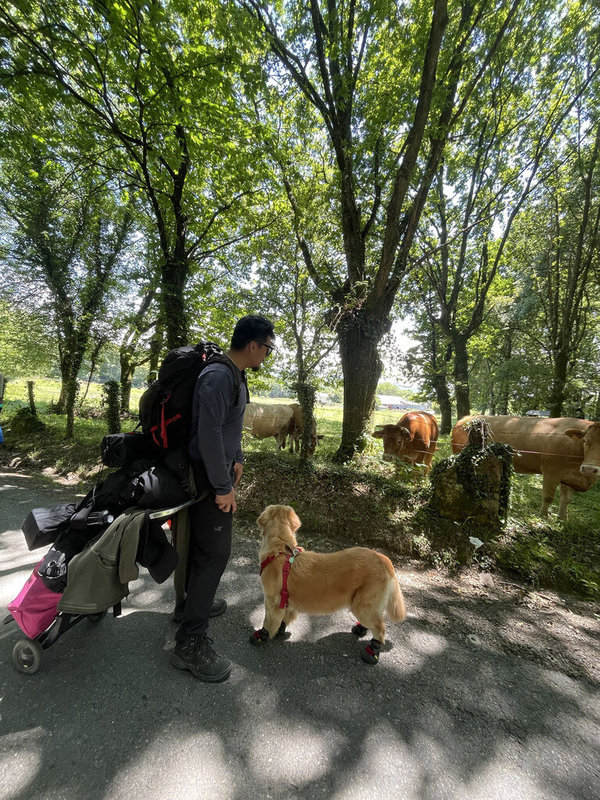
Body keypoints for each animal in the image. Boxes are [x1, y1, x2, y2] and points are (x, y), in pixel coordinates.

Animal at [452, 416, 600, 520]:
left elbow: (566, 499)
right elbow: (548, 497)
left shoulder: (569, 475)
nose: (589, 469)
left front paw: (562, 518)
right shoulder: (552, 471)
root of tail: (466, 418)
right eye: (585, 441)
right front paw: (543, 517)